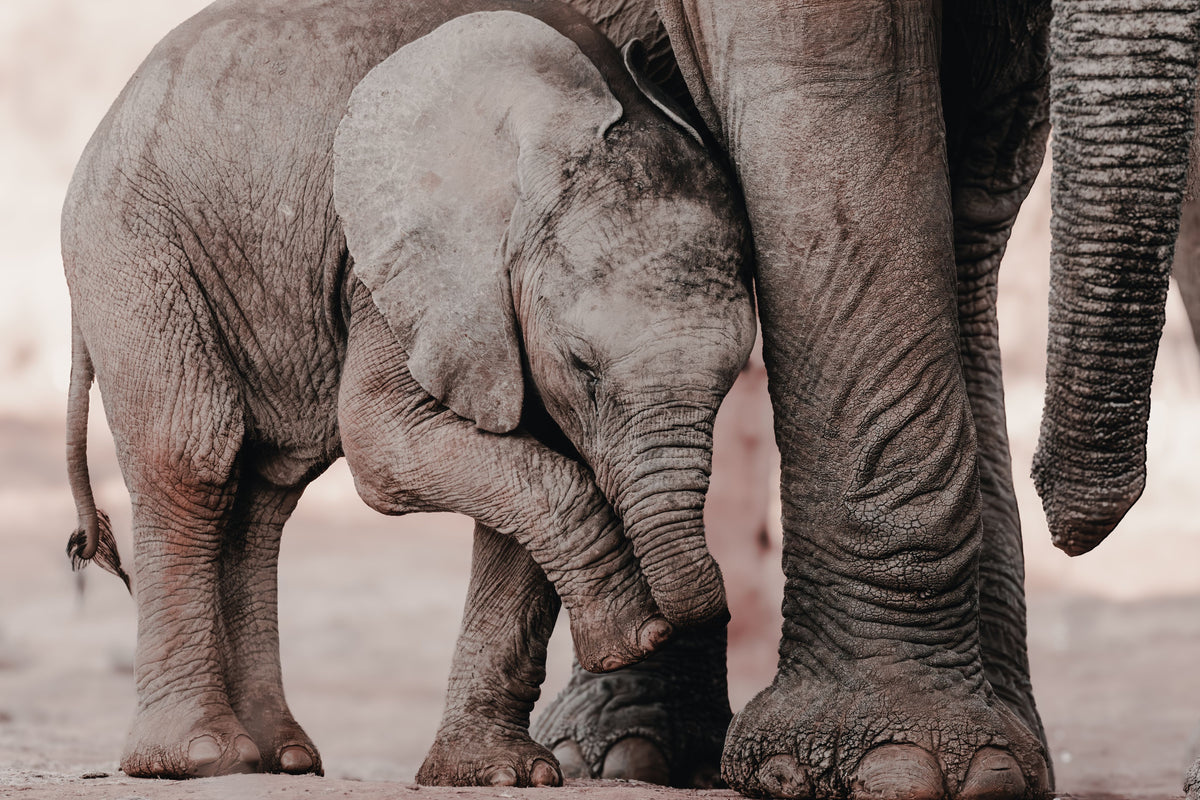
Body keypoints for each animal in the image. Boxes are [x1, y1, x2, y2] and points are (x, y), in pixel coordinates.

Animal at [62, 0, 756, 781]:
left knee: (264, 487)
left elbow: (536, 461)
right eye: (582, 366)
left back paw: (280, 758)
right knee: (194, 455)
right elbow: (383, 442)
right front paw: (632, 637)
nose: (674, 620)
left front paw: (500, 774)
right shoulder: (401, 262)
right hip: (134, 244)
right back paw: (203, 757)